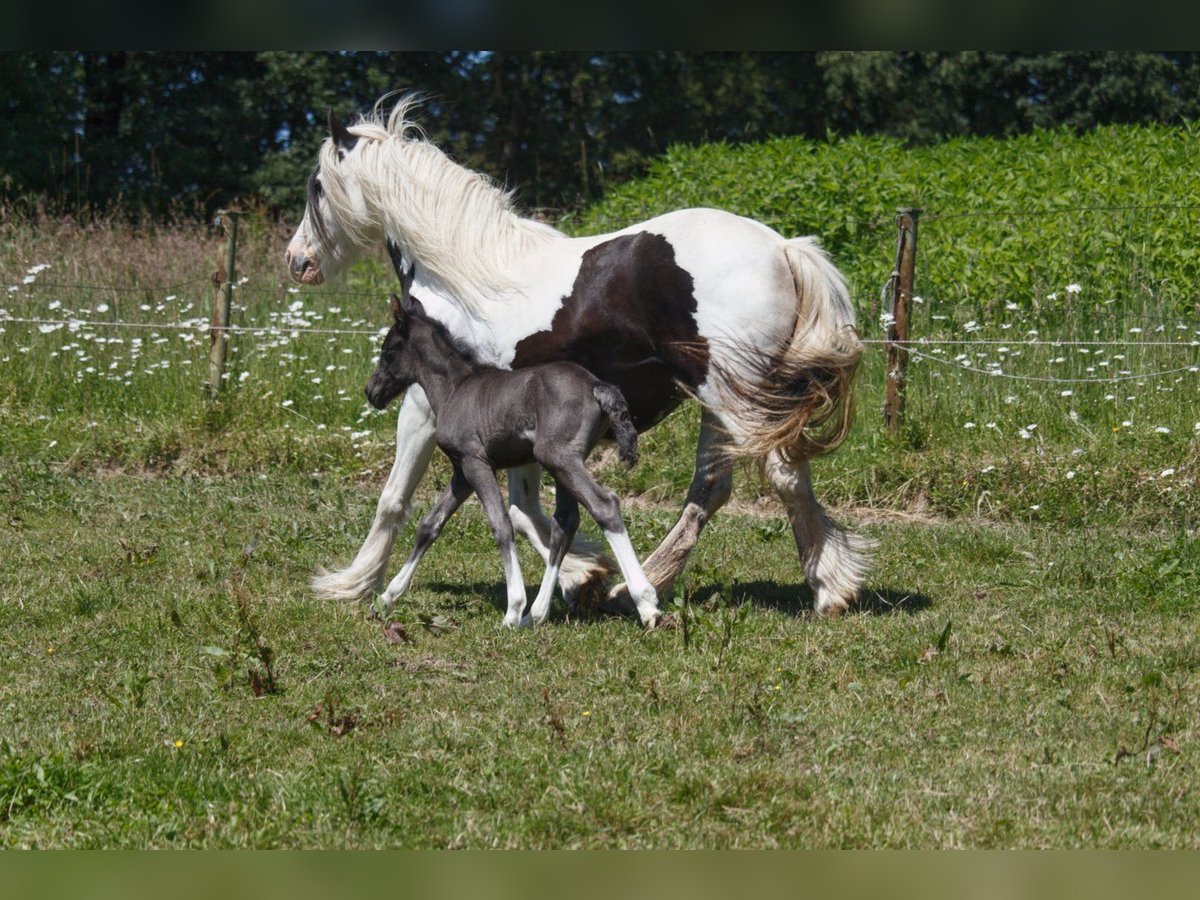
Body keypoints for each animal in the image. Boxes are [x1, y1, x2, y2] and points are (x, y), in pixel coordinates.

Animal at [364, 292, 667, 628]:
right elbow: (429, 525)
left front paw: (512, 607)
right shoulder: (461, 473)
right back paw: (536, 614)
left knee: (604, 506)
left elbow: (501, 525)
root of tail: (598, 386)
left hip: (558, 457)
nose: (371, 392)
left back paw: (645, 604)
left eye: (388, 352)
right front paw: (387, 596)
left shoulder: (476, 462)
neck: (454, 390)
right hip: (565, 462)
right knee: (565, 523)